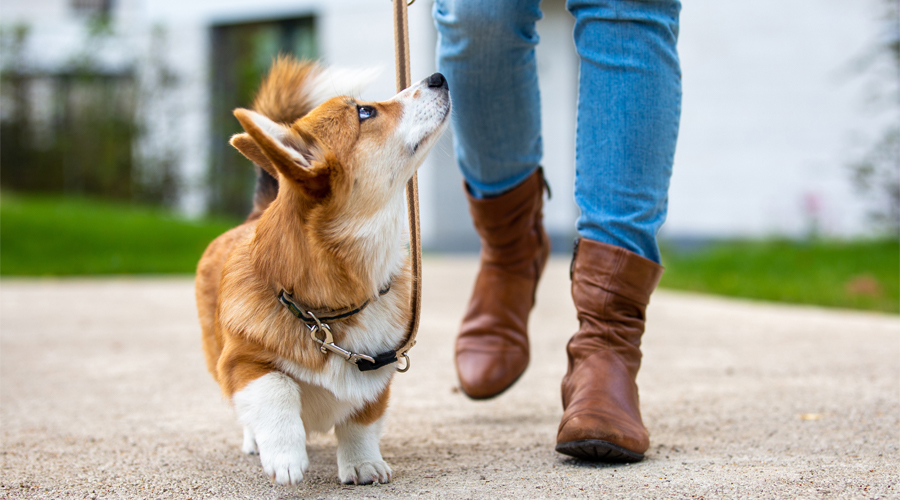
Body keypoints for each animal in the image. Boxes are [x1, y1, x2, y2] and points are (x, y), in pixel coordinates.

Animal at [196, 56, 450, 486]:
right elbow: (277, 388)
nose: (439, 77)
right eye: (365, 112)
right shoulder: (241, 363)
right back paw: (255, 440)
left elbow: (360, 421)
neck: (328, 312)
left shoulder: (377, 371)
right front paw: (285, 456)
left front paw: (363, 464)